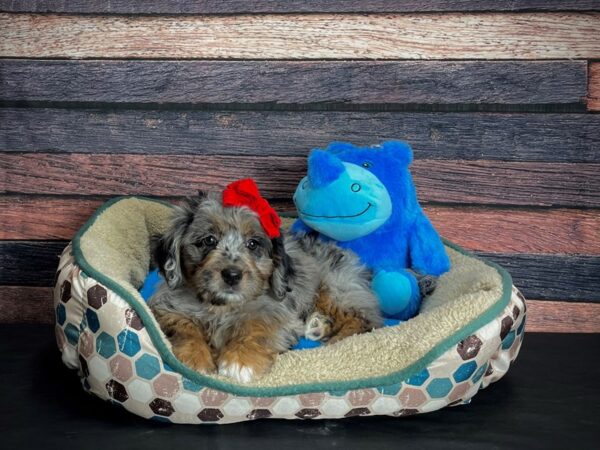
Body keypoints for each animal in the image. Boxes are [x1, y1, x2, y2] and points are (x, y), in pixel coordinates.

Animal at [150, 183, 384, 384]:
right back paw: (317, 325)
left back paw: (335, 340)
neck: (222, 307)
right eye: (209, 240)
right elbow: (184, 327)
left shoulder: (277, 311)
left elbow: (257, 325)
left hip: (336, 287)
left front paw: (240, 361)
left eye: (253, 244)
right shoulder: (168, 307)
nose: (232, 275)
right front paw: (195, 358)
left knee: (365, 319)